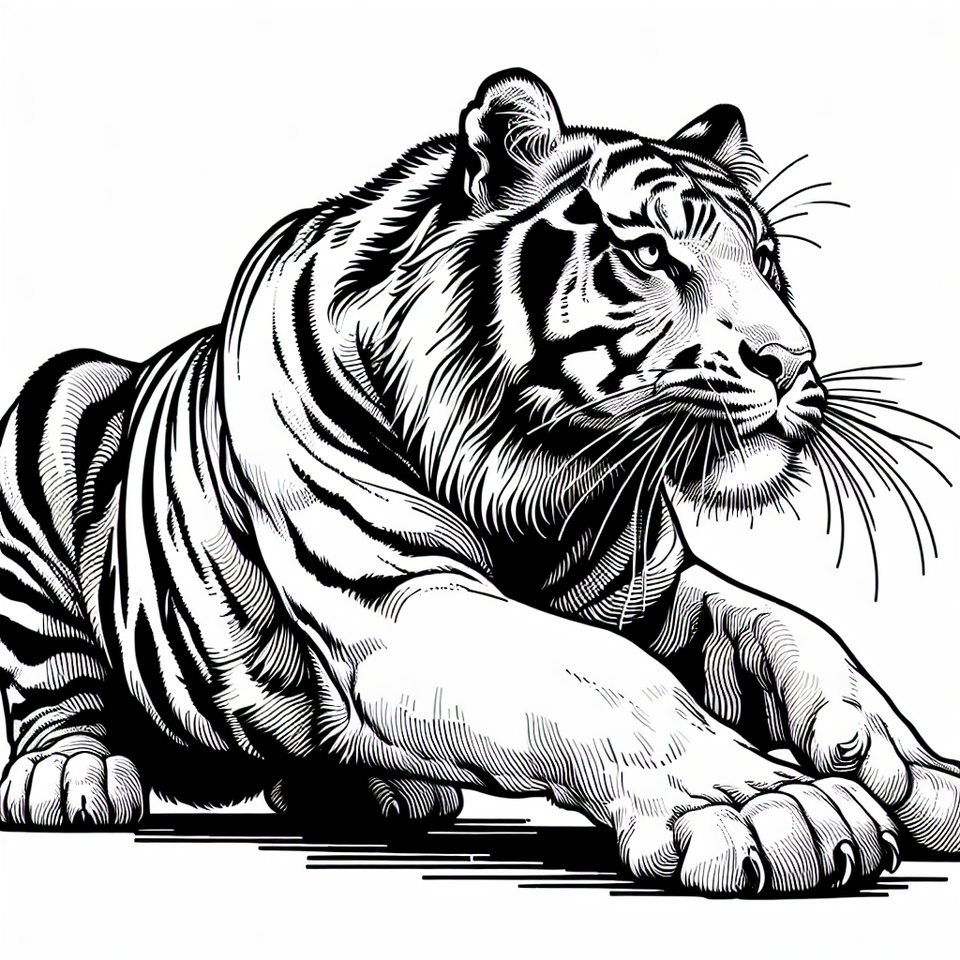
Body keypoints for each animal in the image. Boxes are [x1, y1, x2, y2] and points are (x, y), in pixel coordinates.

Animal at [0, 68, 957, 896]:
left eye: (765, 258)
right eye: (650, 253)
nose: (791, 360)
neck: (552, 475)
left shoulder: (651, 593)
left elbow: (794, 631)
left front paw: (910, 768)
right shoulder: (395, 593)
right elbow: (612, 679)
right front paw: (771, 807)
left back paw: (374, 790)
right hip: (55, 414)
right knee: (57, 692)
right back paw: (70, 776)